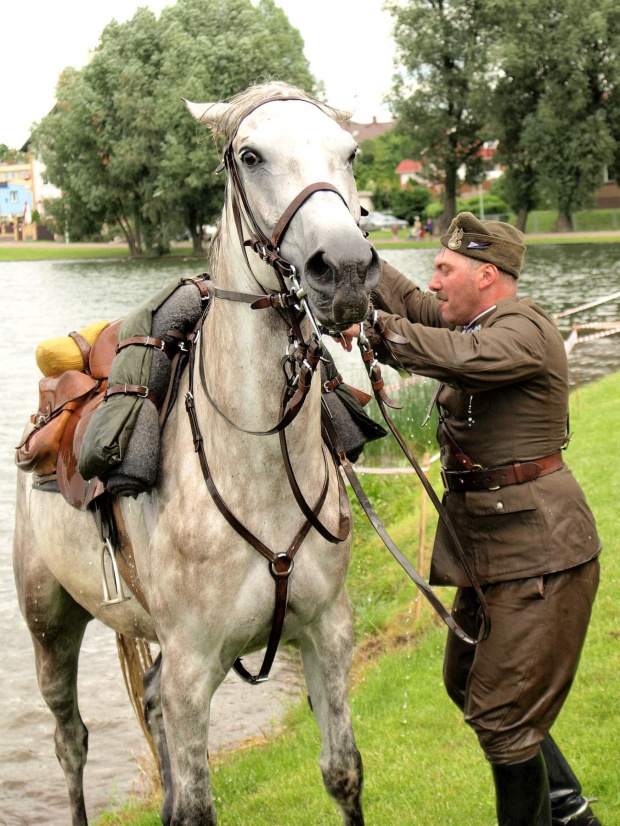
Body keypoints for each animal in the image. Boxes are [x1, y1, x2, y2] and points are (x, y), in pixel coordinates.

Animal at [14, 79, 380, 824]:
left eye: (351, 151)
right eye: (250, 155)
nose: (347, 268)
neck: (257, 473)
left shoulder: (327, 635)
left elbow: (342, 772)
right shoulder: (192, 668)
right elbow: (196, 807)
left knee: (144, 708)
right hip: (49, 625)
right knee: (71, 742)